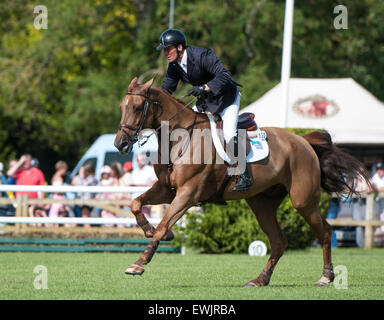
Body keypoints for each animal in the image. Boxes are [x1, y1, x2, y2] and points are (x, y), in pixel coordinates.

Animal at [113, 78, 368, 288]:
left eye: (137, 107)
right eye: (121, 107)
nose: (120, 144)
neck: (180, 138)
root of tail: (303, 140)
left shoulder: (188, 194)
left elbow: (164, 224)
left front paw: (139, 263)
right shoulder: (167, 190)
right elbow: (136, 204)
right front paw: (150, 230)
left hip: (302, 200)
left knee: (324, 231)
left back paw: (326, 277)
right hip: (262, 203)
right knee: (279, 241)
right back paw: (260, 280)